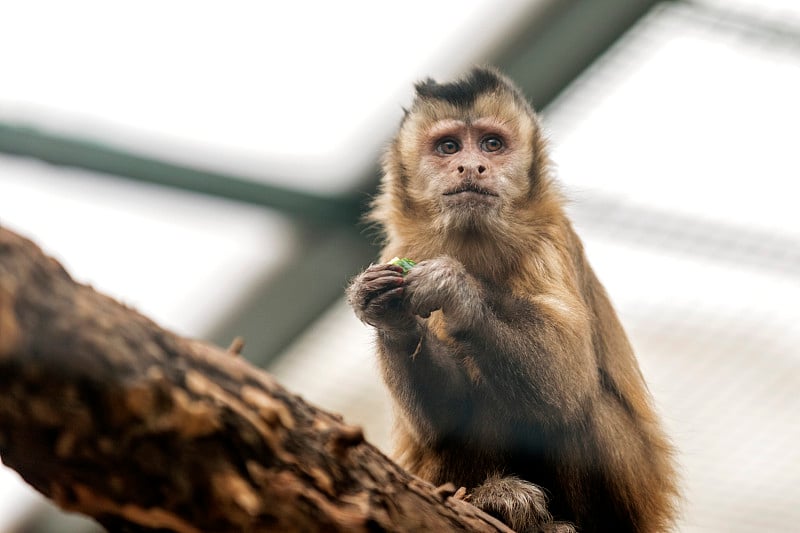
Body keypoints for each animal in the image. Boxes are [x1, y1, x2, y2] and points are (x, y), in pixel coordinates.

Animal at [346, 66, 680, 532]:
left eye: (492, 144)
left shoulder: (549, 239)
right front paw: (392, 315)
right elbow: (447, 417)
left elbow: (566, 376)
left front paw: (456, 289)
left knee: (579, 405)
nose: (472, 165)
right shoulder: (402, 246)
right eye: (448, 147)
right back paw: (496, 500)